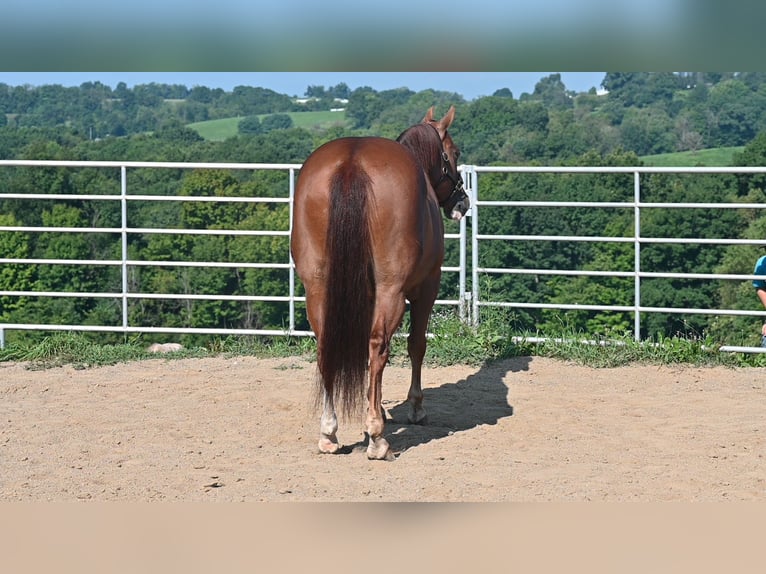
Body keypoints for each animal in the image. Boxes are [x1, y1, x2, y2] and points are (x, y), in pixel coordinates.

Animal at [290, 105, 469, 460]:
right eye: (454, 153)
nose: (462, 203)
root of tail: (351, 163)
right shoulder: (427, 288)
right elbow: (416, 344)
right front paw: (414, 408)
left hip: (318, 289)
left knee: (326, 344)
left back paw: (329, 432)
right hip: (392, 292)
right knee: (379, 347)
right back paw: (377, 438)